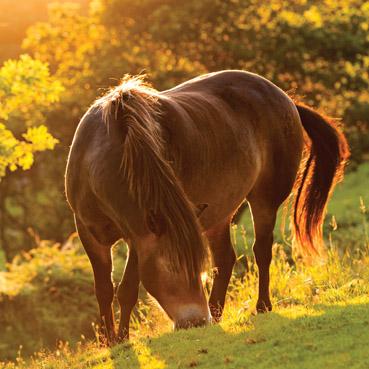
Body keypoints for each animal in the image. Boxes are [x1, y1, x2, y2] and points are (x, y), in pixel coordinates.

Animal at [64, 69, 350, 342]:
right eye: (171, 268)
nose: (197, 321)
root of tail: (287, 99)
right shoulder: (90, 235)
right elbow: (104, 291)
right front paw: (110, 341)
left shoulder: (139, 236)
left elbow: (127, 290)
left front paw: (122, 337)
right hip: (218, 215)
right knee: (225, 259)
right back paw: (217, 311)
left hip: (264, 200)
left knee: (261, 251)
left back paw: (261, 306)